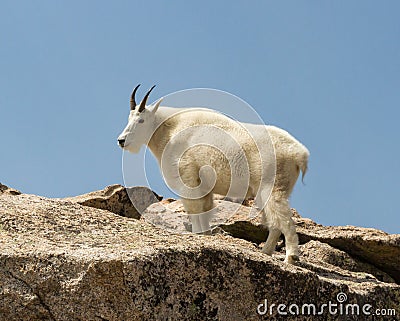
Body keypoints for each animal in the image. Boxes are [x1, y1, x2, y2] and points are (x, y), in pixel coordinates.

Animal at [117, 84, 310, 262]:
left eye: (141, 120)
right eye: (128, 118)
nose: (121, 140)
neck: (168, 130)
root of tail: (299, 154)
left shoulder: (188, 178)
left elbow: (194, 210)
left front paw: (196, 234)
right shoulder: (204, 186)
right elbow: (205, 211)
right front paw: (205, 235)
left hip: (272, 185)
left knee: (284, 220)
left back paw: (291, 257)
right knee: (274, 222)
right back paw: (266, 252)